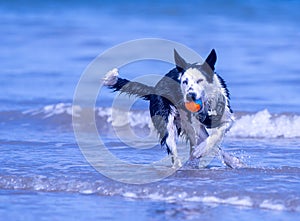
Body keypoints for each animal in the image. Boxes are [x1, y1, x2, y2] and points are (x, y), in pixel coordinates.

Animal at [103, 49, 244, 167]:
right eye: (184, 82)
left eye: (199, 80)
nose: (190, 96)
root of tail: (155, 89)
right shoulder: (193, 124)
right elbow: (207, 139)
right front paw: (201, 151)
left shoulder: (226, 117)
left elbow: (217, 134)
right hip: (168, 123)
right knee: (175, 149)